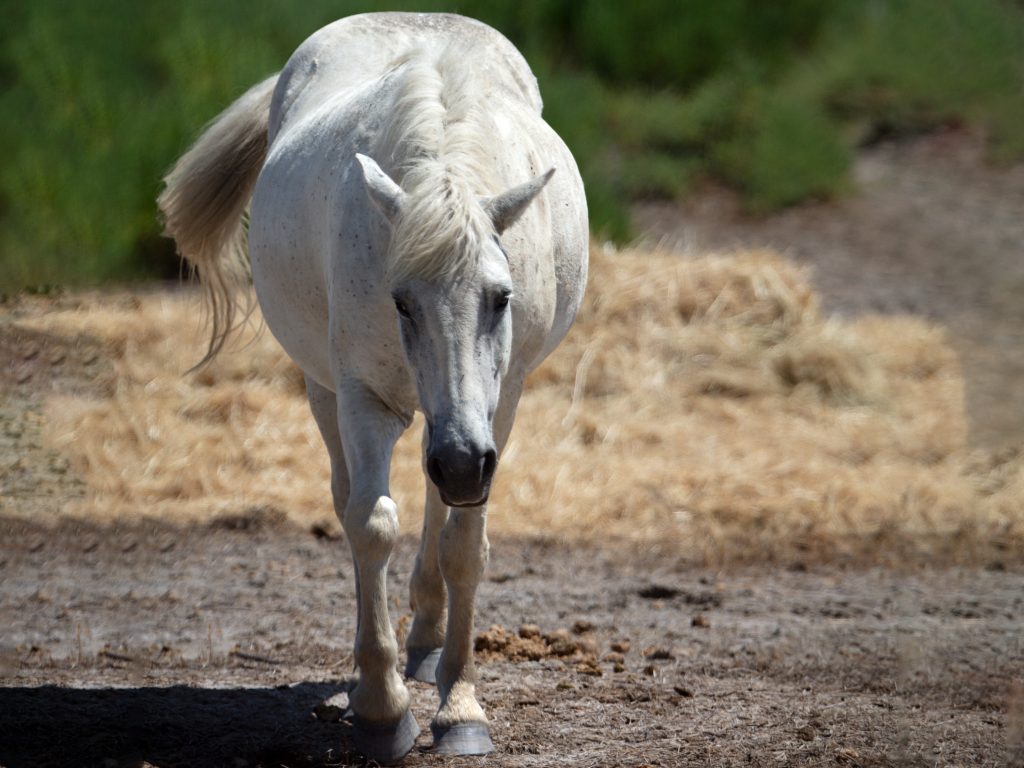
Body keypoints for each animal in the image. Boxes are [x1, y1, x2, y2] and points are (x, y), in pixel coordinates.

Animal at [158, 12, 588, 763]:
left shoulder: (498, 407)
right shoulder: (362, 397)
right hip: (326, 390)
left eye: (501, 298)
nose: (464, 460)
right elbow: (371, 523)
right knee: (354, 501)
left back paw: (427, 639)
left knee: (436, 502)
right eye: (401, 301)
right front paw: (385, 711)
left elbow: (463, 542)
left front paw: (460, 705)